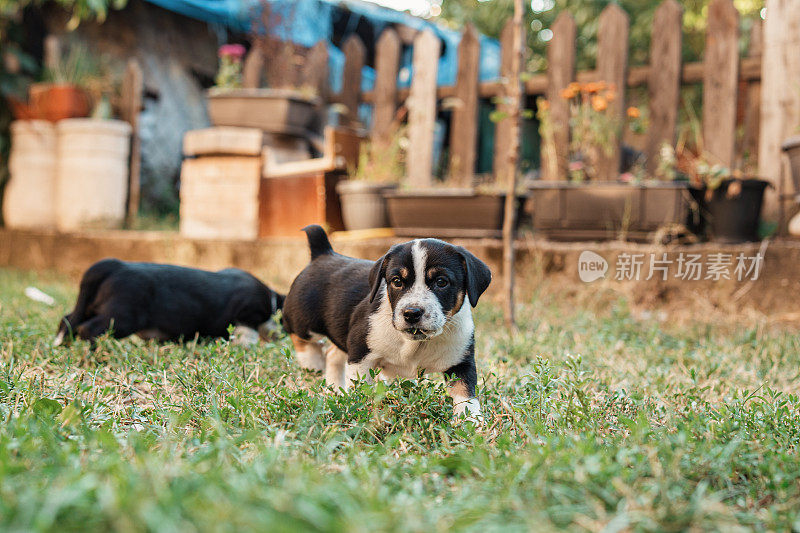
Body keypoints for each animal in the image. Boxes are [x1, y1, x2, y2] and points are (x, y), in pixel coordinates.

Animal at [55, 258, 284, 350]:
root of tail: (114, 265)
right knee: (88, 329)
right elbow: (248, 336)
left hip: (88, 307)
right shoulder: (248, 315)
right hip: (121, 318)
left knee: (67, 321)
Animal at [284, 224, 490, 420]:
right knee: (297, 334)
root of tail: (323, 253)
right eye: (397, 281)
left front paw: (472, 421)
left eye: (441, 282)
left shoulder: (461, 362)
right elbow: (361, 388)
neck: (416, 343)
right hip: (304, 321)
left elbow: (466, 394)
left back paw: (335, 389)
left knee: (333, 354)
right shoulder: (360, 354)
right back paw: (311, 361)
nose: (411, 313)